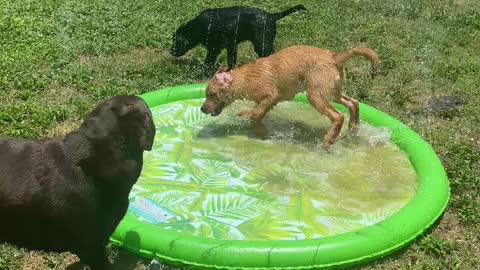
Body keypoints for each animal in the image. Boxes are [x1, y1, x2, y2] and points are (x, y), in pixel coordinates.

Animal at [172, 5, 308, 70]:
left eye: (176, 41)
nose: (171, 51)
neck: (197, 27)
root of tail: (271, 16)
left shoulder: (215, 46)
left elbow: (208, 60)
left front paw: (202, 70)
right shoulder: (231, 45)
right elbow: (231, 60)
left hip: (262, 43)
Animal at [199, 45, 378, 149]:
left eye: (212, 94)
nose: (201, 109)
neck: (244, 78)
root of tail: (334, 58)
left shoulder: (272, 95)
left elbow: (256, 114)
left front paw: (261, 131)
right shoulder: (267, 101)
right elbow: (256, 111)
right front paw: (246, 115)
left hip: (315, 95)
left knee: (338, 116)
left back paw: (328, 140)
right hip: (331, 92)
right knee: (353, 103)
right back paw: (353, 128)